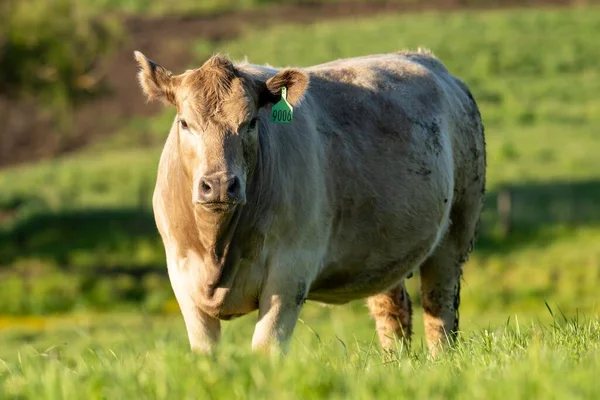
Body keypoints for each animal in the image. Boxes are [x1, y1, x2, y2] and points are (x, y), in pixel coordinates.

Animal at [134, 48, 486, 358]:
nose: (220, 184)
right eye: (184, 123)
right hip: (383, 245)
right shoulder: (181, 273)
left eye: (251, 122)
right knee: (392, 311)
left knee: (440, 309)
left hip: (457, 230)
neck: (217, 249)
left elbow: (267, 348)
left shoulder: (290, 272)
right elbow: (205, 351)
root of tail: (427, 60)